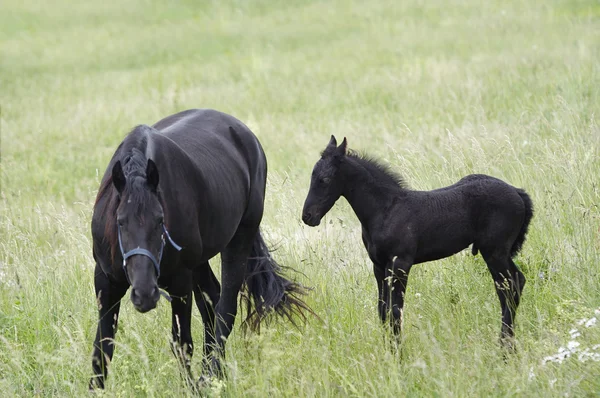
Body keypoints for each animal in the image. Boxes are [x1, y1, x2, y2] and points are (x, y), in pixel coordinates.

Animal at [89, 108, 310, 388]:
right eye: (120, 221)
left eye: (160, 220)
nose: (145, 294)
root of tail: (243, 133)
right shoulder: (105, 282)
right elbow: (102, 349)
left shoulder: (180, 283)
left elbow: (182, 344)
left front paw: (191, 387)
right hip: (199, 262)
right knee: (211, 302)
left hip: (237, 241)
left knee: (225, 308)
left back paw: (213, 374)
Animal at [302, 137, 532, 348]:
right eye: (312, 175)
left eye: (324, 179)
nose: (307, 216)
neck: (386, 210)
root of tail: (517, 192)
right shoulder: (379, 266)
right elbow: (382, 310)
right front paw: (387, 351)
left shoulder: (400, 264)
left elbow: (395, 311)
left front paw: (398, 354)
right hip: (499, 252)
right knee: (514, 284)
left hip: (494, 252)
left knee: (509, 287)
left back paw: (504, 346)